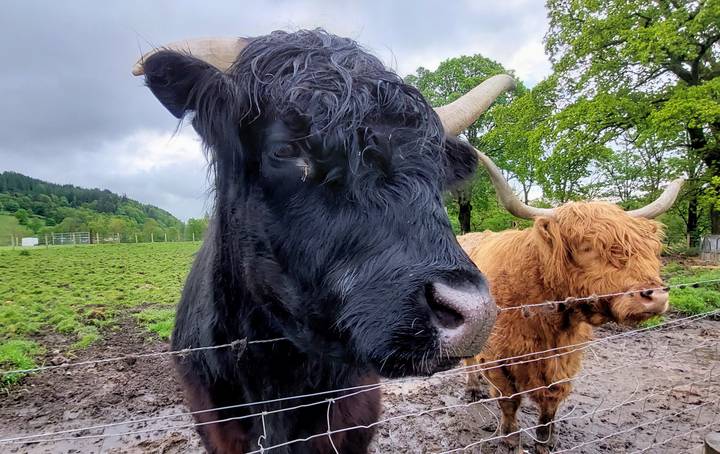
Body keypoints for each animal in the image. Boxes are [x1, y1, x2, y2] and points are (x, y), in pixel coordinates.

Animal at [450, 149, 683, 453]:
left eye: (647, 248)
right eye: (587, 247)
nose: (655, 296)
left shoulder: (566, 357)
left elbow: (551, 400)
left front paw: (545, 441)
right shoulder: (498, 358)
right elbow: (509, 400)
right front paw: (511, 438)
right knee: (469, 360)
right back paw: (472, 389)